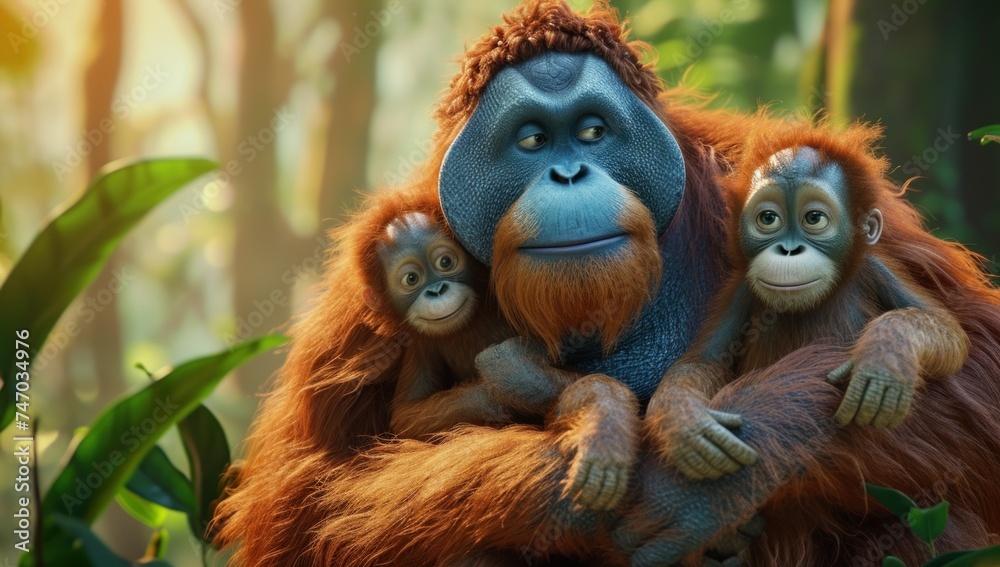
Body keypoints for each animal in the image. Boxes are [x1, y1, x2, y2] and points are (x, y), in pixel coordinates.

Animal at [366, 209, 640, 511]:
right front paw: (488, 397)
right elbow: (406, 415)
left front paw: (603, 412)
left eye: (445, 262)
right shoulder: (419, 344)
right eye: (412, 278)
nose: (437, 290)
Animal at [648, 145, 971, 481]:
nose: (789, 250)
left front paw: (884, 360)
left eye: (814, 218)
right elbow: (705, 361)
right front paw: (685, 421)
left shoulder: (877, 268)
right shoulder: (740, 290)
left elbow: (950, 330)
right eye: (768, 218)